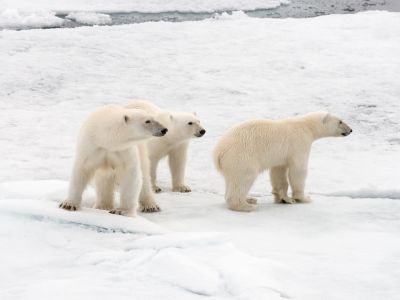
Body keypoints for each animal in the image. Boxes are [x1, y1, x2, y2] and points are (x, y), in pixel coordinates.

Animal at [214, 111, 352, 212]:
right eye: (340, 121)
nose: (350, 130)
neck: (306, 126)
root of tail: (218, 152)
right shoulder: (299, 143)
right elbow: (298, 170)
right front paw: (304, 198)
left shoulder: (280, 155)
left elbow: (278, 172)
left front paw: (284, 199)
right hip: (243, 157)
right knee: (243, 179)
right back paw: (246, 205)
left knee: (232, 180)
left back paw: (250, 199)